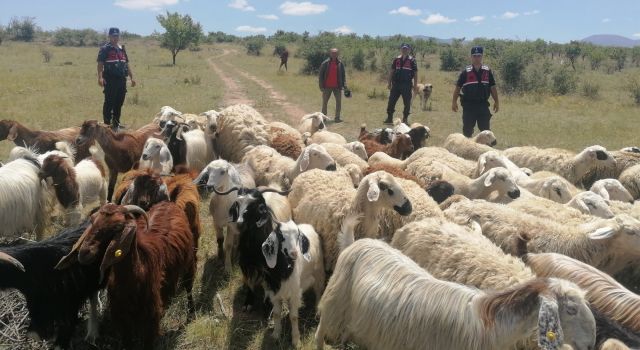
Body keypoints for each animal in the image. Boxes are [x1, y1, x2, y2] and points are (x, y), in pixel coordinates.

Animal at [56, 202, 196, 350]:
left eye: (117, 226)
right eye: (92, 220)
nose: (84, 253)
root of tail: (168, 203)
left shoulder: (150, 317)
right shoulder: (123, 318)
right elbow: (128, 342)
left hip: (189, 260)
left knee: (188, 285)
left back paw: (191, 313)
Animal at [316, 238, 596, 350]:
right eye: (571, 309)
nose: (590, 344)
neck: (491, 327)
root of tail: (360, 242)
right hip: (333, 306)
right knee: (320, 333)